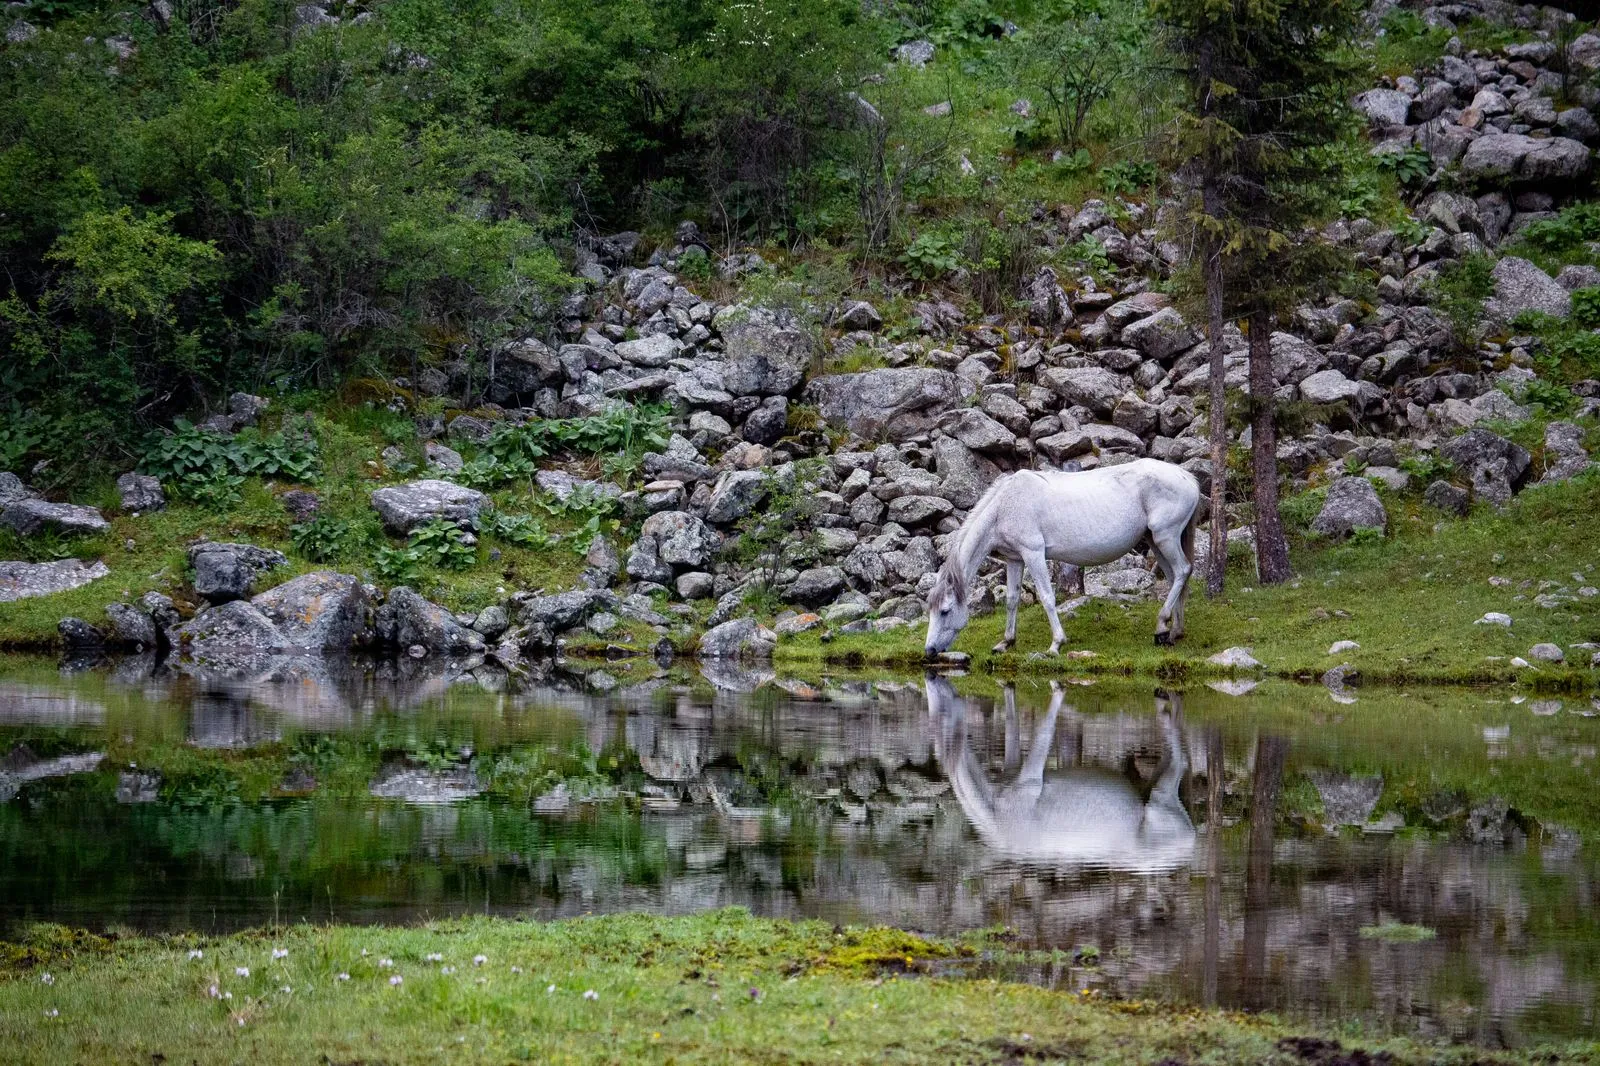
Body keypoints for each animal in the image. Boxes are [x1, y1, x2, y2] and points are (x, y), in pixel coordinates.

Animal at [928, 457, 1203, 656]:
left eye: (945, 611)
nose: (929, 651)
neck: (1004, 506)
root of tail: (1187, 477)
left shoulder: (1033, 553)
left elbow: (1047, 598)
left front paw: (1056, 644)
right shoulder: (1015, 559)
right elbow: (1012, 600)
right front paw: (1006, 642)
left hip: (1165, 537)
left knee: (1182, 571)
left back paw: (1161, 626)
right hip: (1156, 541)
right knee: (1174, 578)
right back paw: (1174, 632)